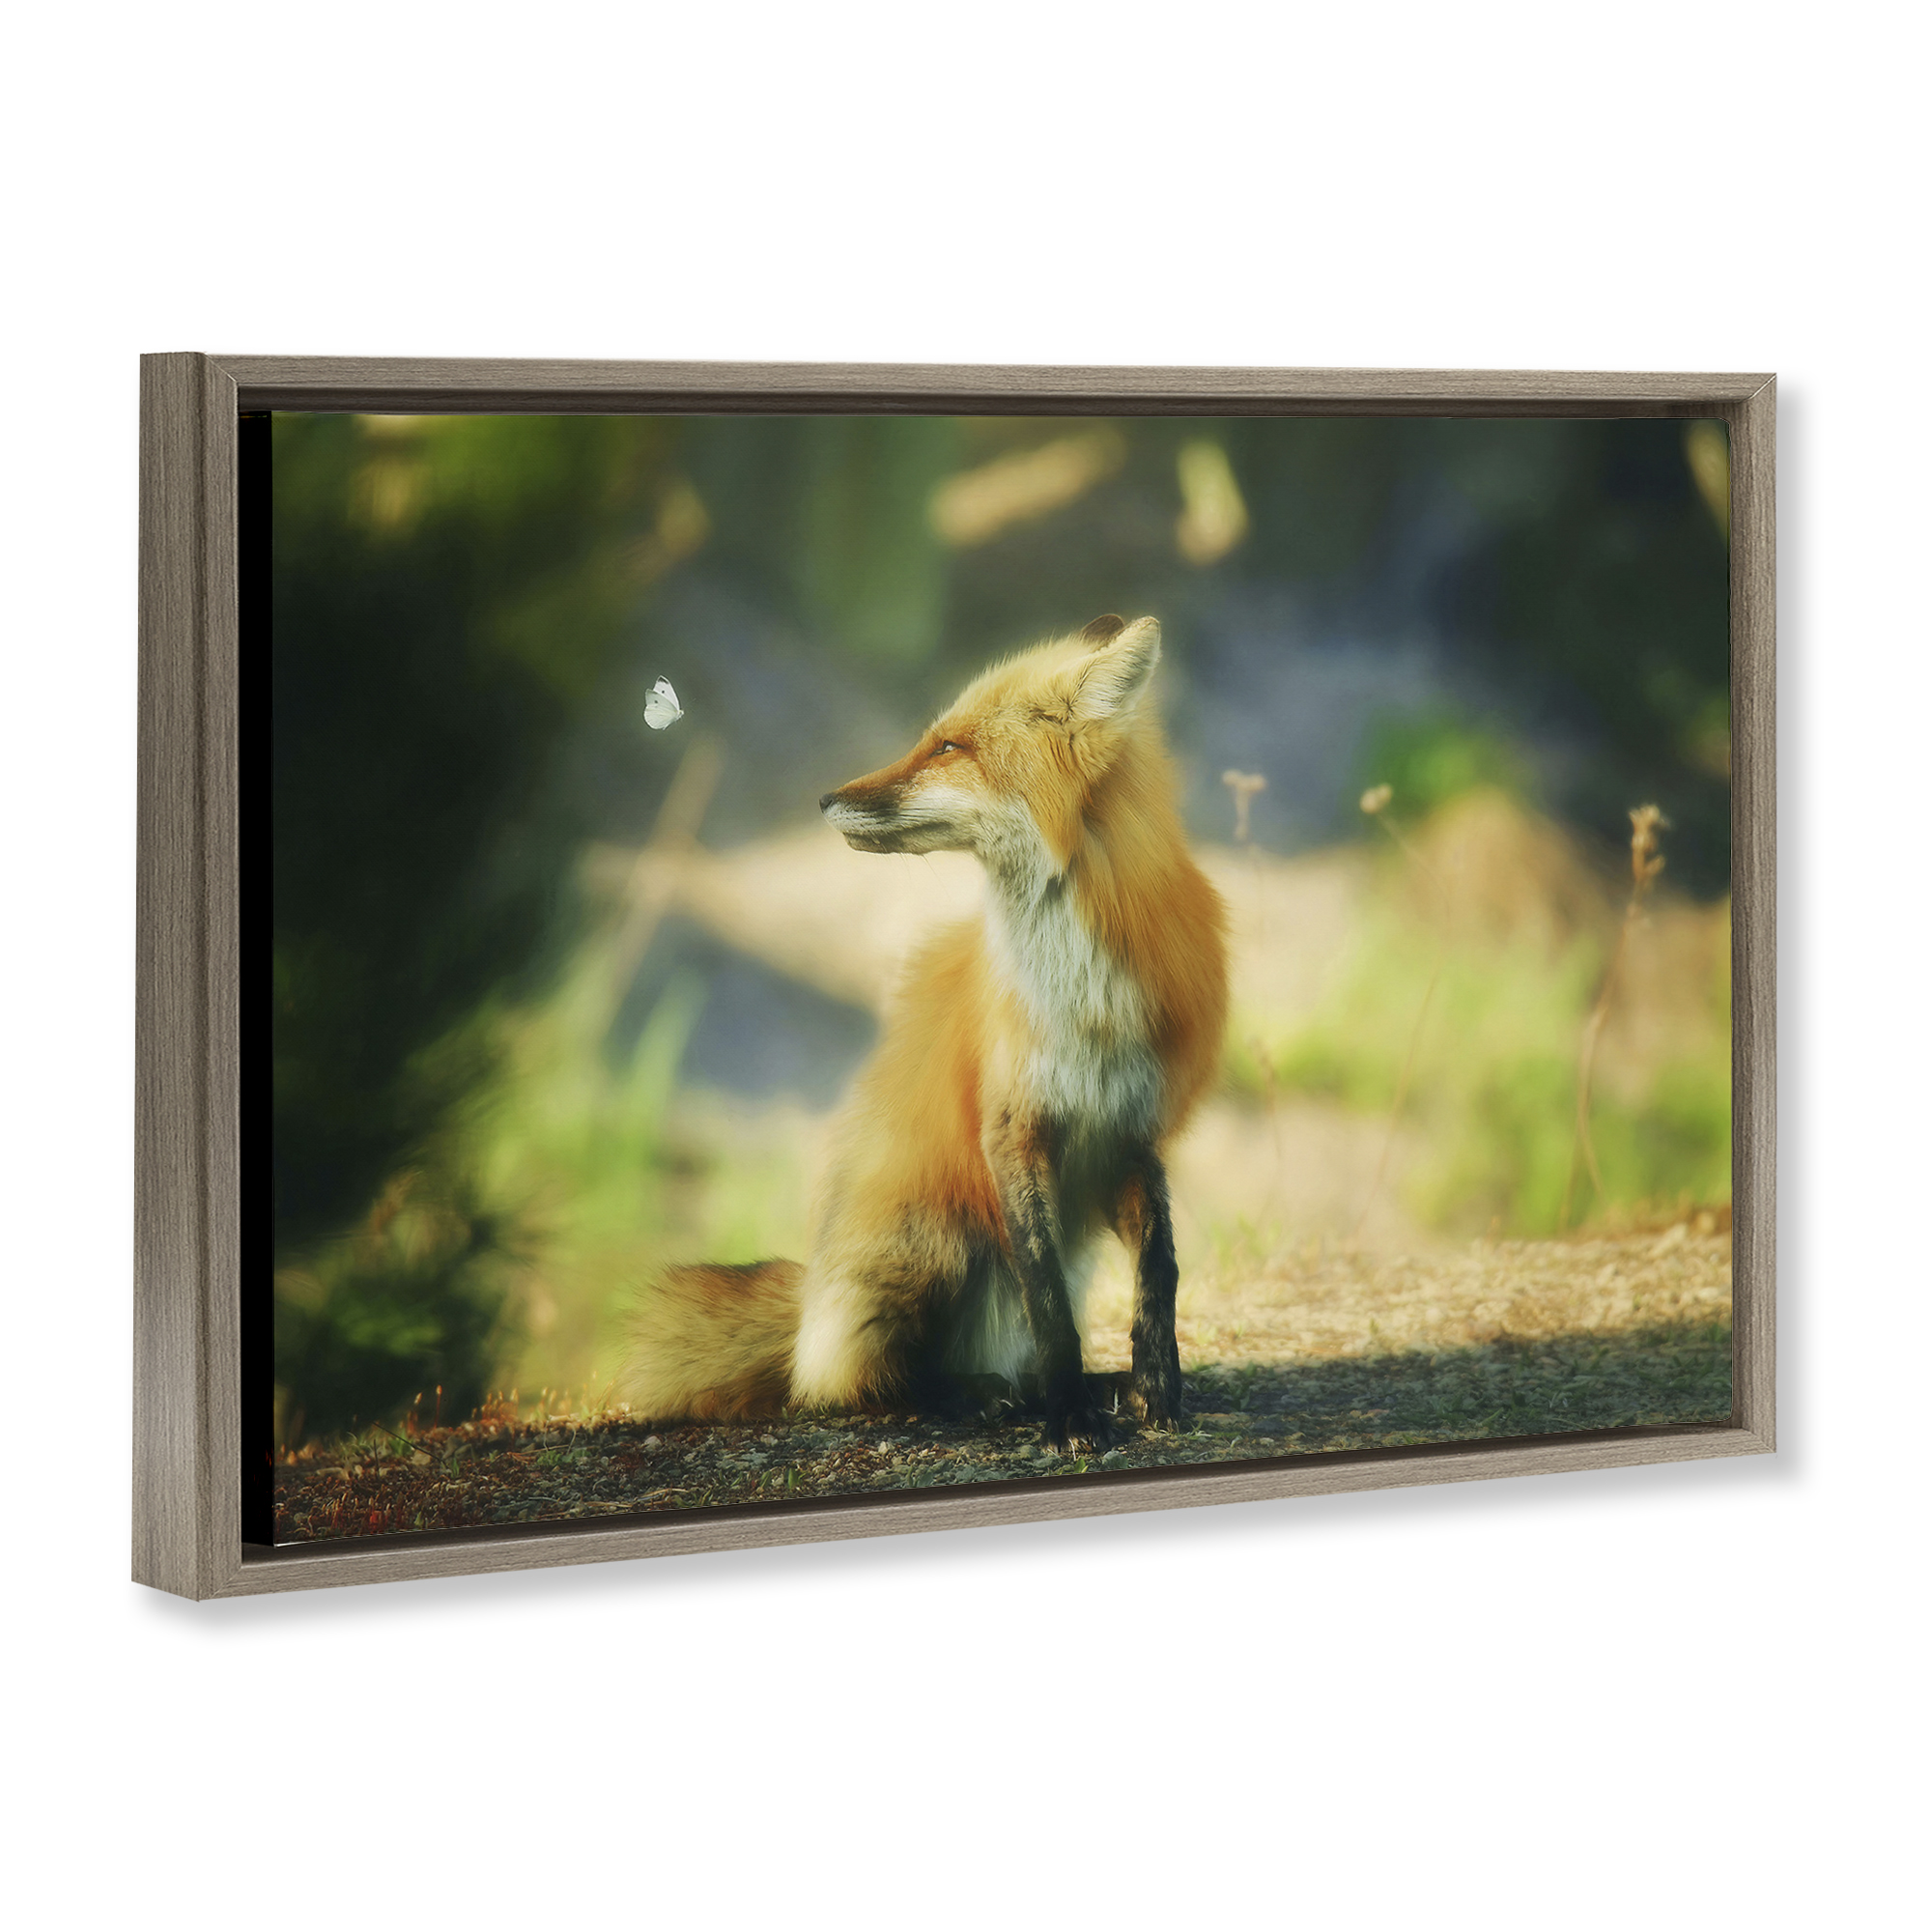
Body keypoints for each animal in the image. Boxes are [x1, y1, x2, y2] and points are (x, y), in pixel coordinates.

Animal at [620, 613, 1229, 1449]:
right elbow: (1049, 1305)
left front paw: (1157, 1388)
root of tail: (810, 1307)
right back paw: (978, 1394)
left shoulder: (1132, 1131)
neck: (1081, 997)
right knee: (863, 1384)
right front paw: (1071, 1418)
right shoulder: (1010, 1129)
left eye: (948, 747)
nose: (822, 797)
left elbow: (1159, 1273)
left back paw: (1079, 1387)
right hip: (939, 1235)